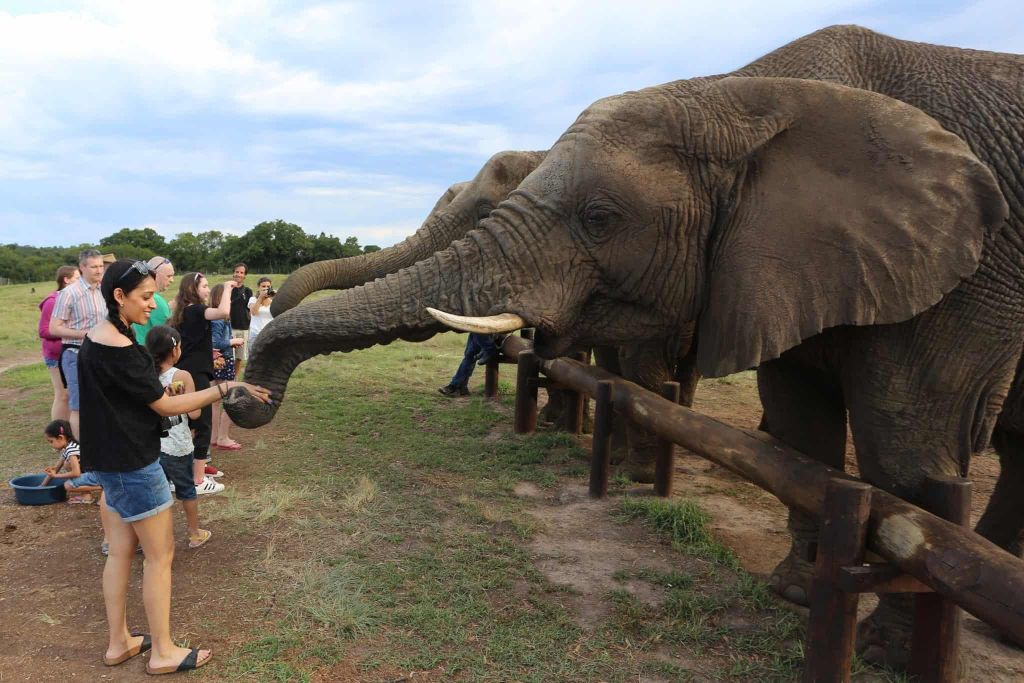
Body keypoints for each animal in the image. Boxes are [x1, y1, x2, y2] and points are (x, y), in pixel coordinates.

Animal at [227, 26, 1024, 672]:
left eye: (600, 217)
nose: (244, 395)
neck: (746, 94)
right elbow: (801, 427)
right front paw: (794, 589)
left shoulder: (968, 271)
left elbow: (905, 456)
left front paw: (884, 651)